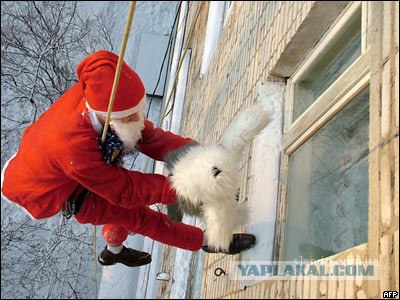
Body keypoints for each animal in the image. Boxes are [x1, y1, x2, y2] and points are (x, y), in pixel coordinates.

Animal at [165, 103, 272, 251]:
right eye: (199, 188)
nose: (215, 171)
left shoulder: (229, 148)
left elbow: (240, 132)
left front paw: (259, 116)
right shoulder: (218, 205)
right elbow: (223, 219)